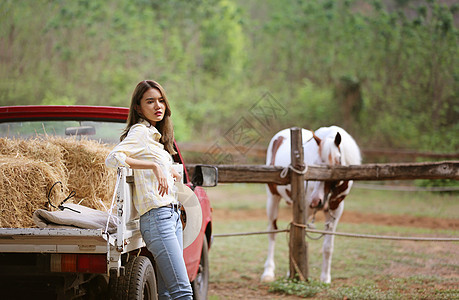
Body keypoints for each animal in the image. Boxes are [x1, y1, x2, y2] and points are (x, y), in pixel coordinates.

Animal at [260, 126, 362, 284]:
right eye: (315, 163)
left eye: (335, 163)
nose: (316, 200)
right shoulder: (306, 207)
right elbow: (298, 239)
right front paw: (294, 274)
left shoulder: (336, 208)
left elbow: (327, 247)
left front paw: (325, 278)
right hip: (273, 198)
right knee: (272, 232)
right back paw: (268, 272)